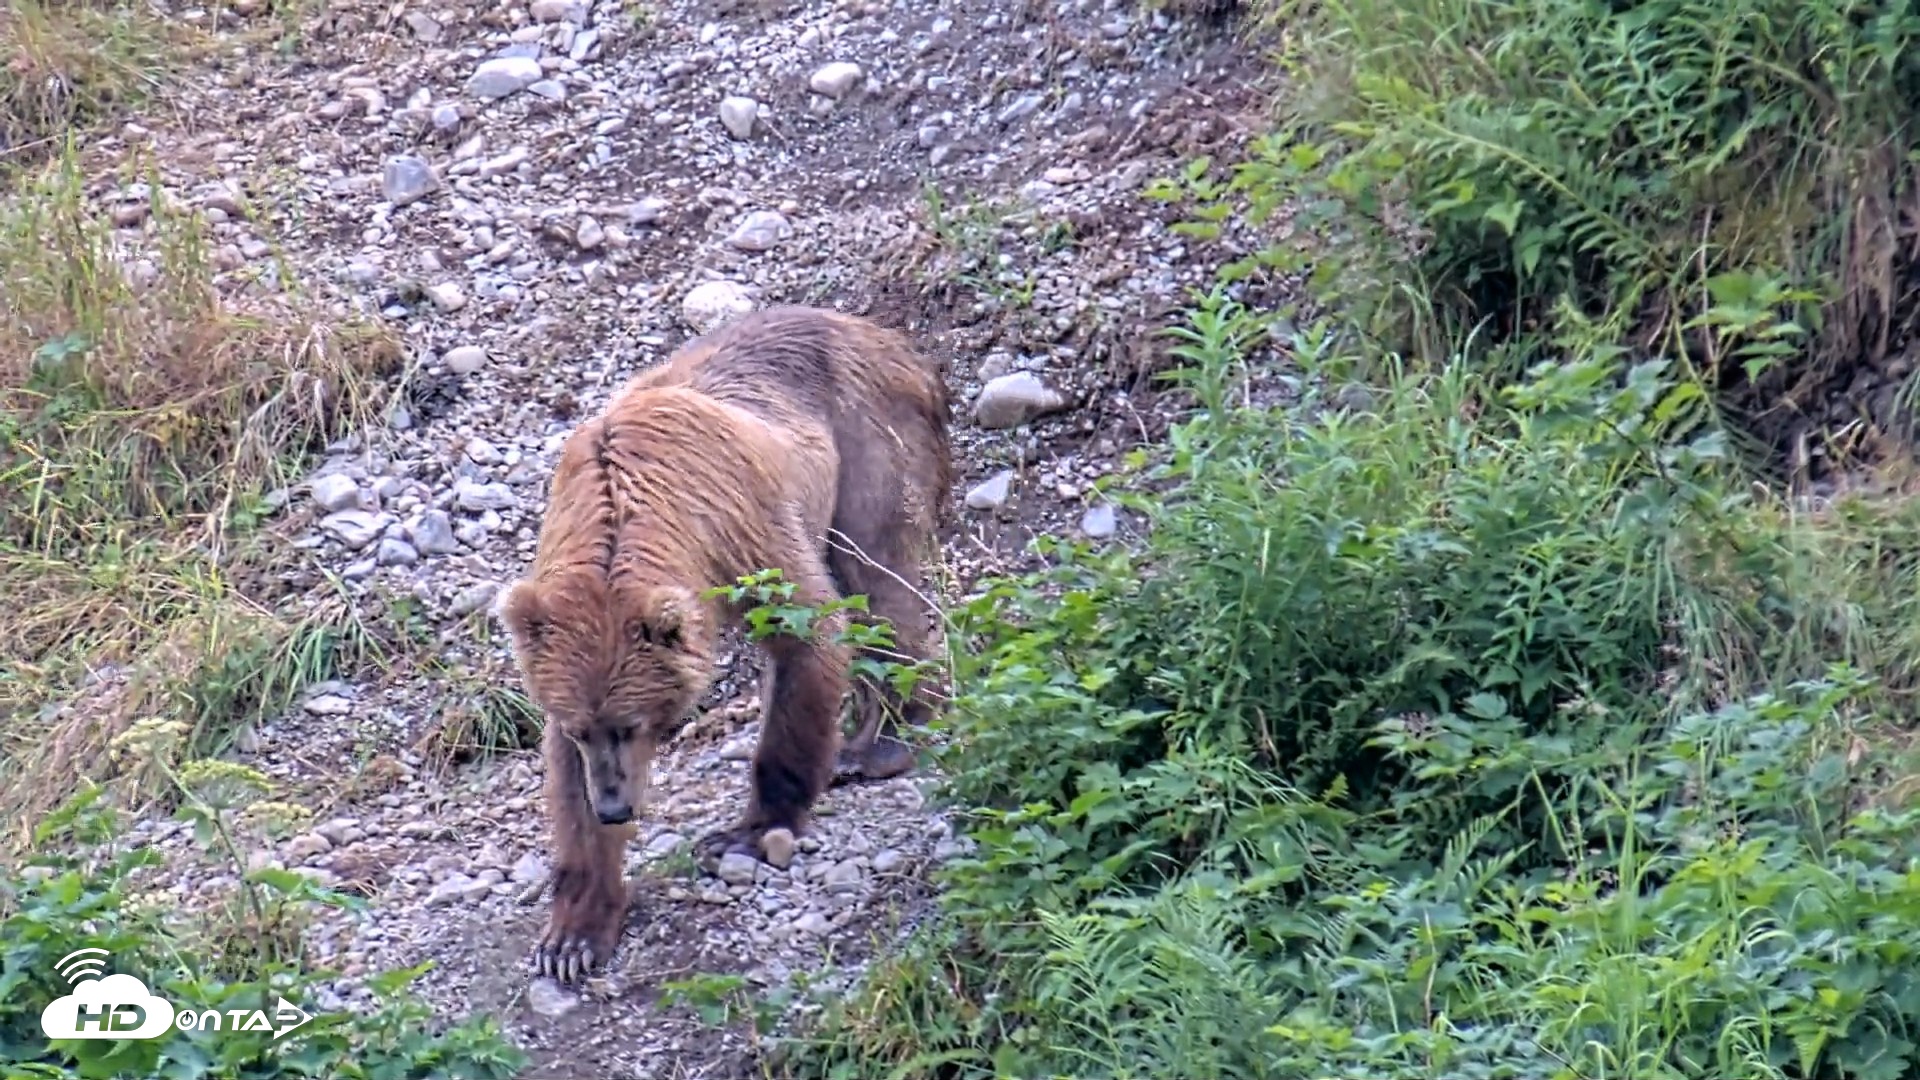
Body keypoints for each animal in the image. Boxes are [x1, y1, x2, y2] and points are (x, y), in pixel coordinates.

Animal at [494, 304, 953, 983]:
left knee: (879, 576)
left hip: (869, 444)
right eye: (585, 729)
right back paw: (857, 742)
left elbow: (808, 636)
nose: (614, 807)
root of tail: (887, 336)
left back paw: (889, 739)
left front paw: (749, 829)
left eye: (632, 724)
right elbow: (563, 782)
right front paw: (574, 934)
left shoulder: (740, 532)